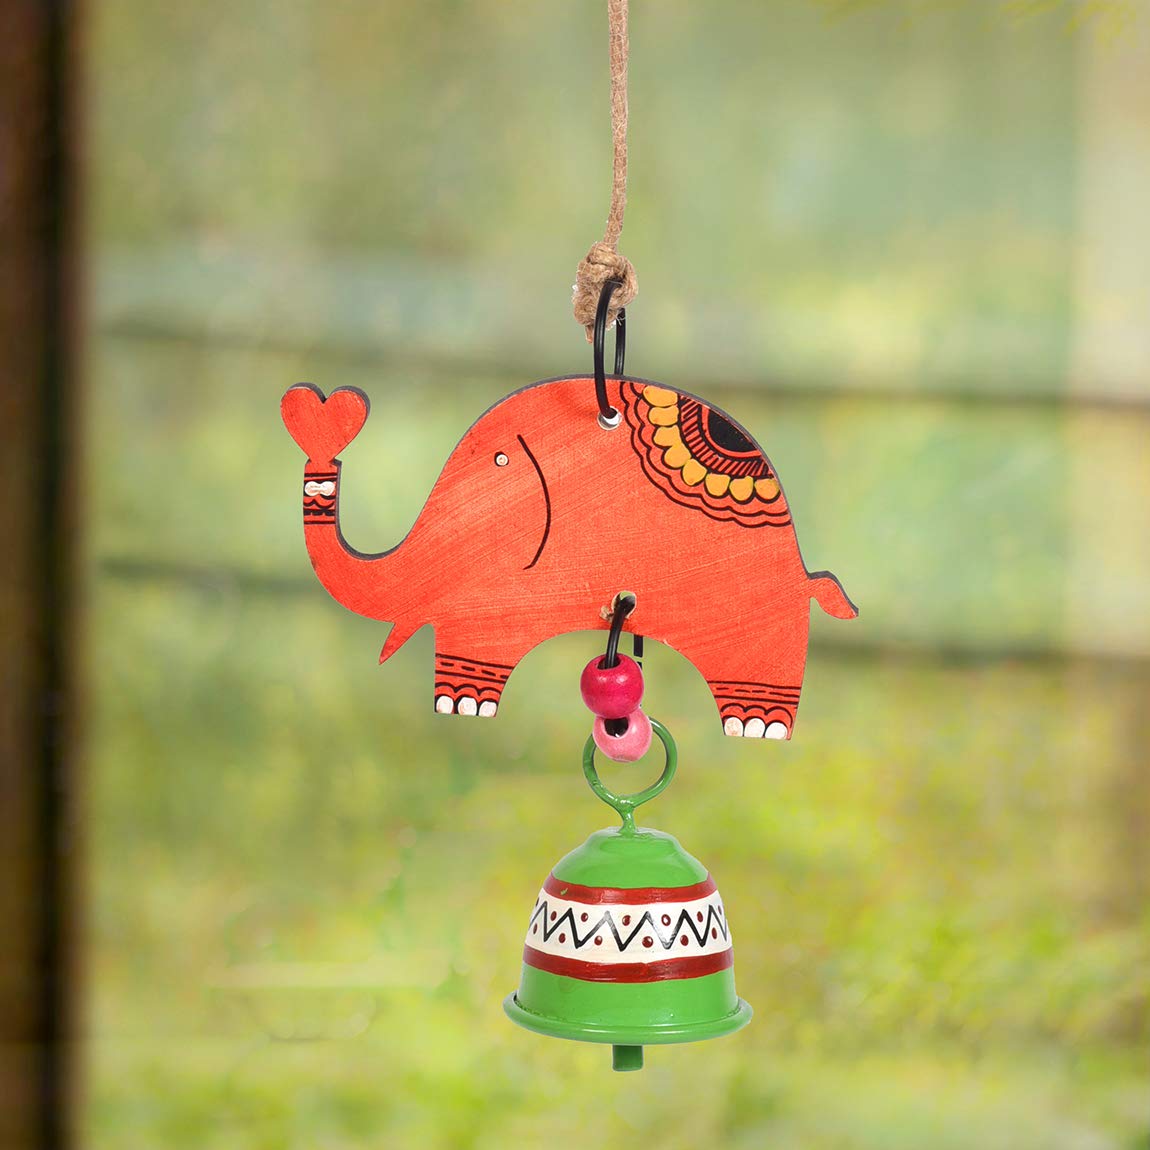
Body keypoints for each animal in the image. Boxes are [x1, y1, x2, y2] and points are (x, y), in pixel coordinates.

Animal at [281, 374, 856, 738]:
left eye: (499, 460)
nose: (323, 461)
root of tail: (806, 572)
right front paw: (464, 706)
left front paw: (462, 704)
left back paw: (755, 726)